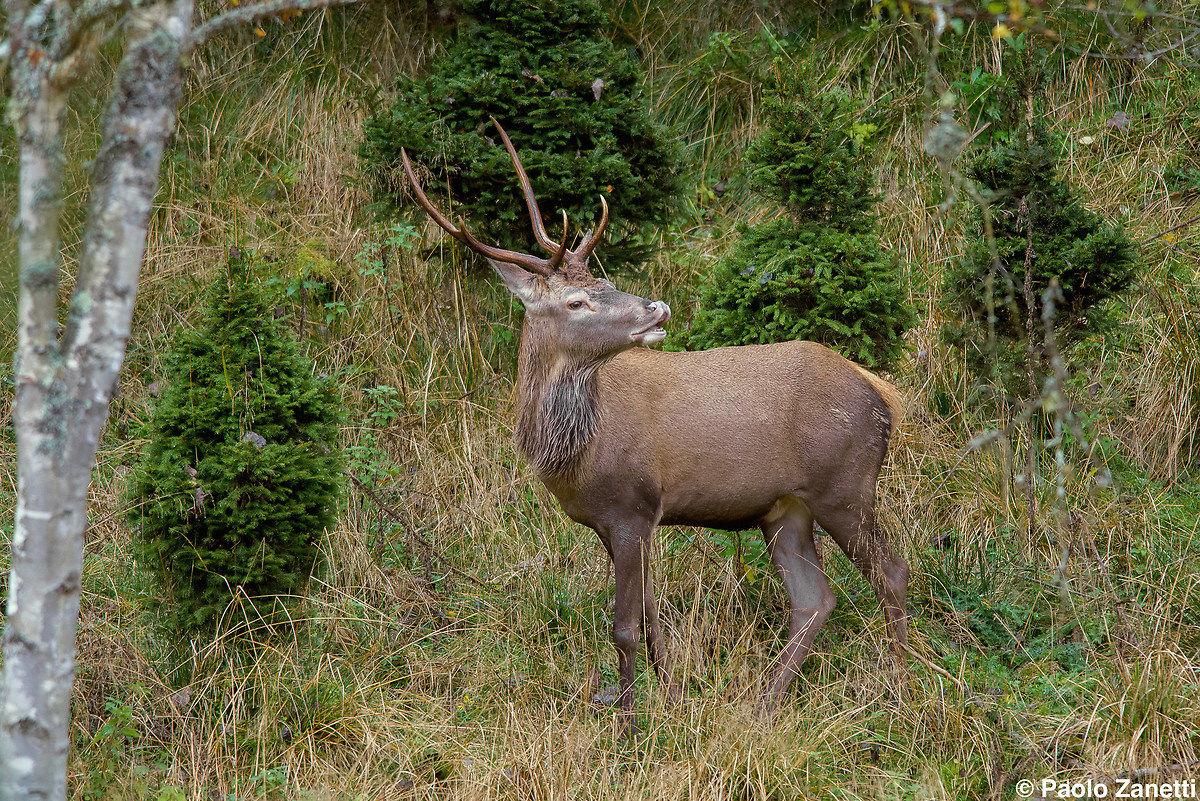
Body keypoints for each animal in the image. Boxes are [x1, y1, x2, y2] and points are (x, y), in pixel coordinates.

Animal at [401, 119, 910, 732]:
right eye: (577, 300)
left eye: (606, 280)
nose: (657, 308)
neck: (575, 452)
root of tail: (883, 394)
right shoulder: (614, 522)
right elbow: (649, 619)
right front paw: (669, 699)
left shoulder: (632, 505)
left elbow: (624, 627)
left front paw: (628, 724)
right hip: (786, 510)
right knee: (816, 599)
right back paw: (762, 705)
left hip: (846, 485)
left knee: (891, 571)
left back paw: (900, 689)